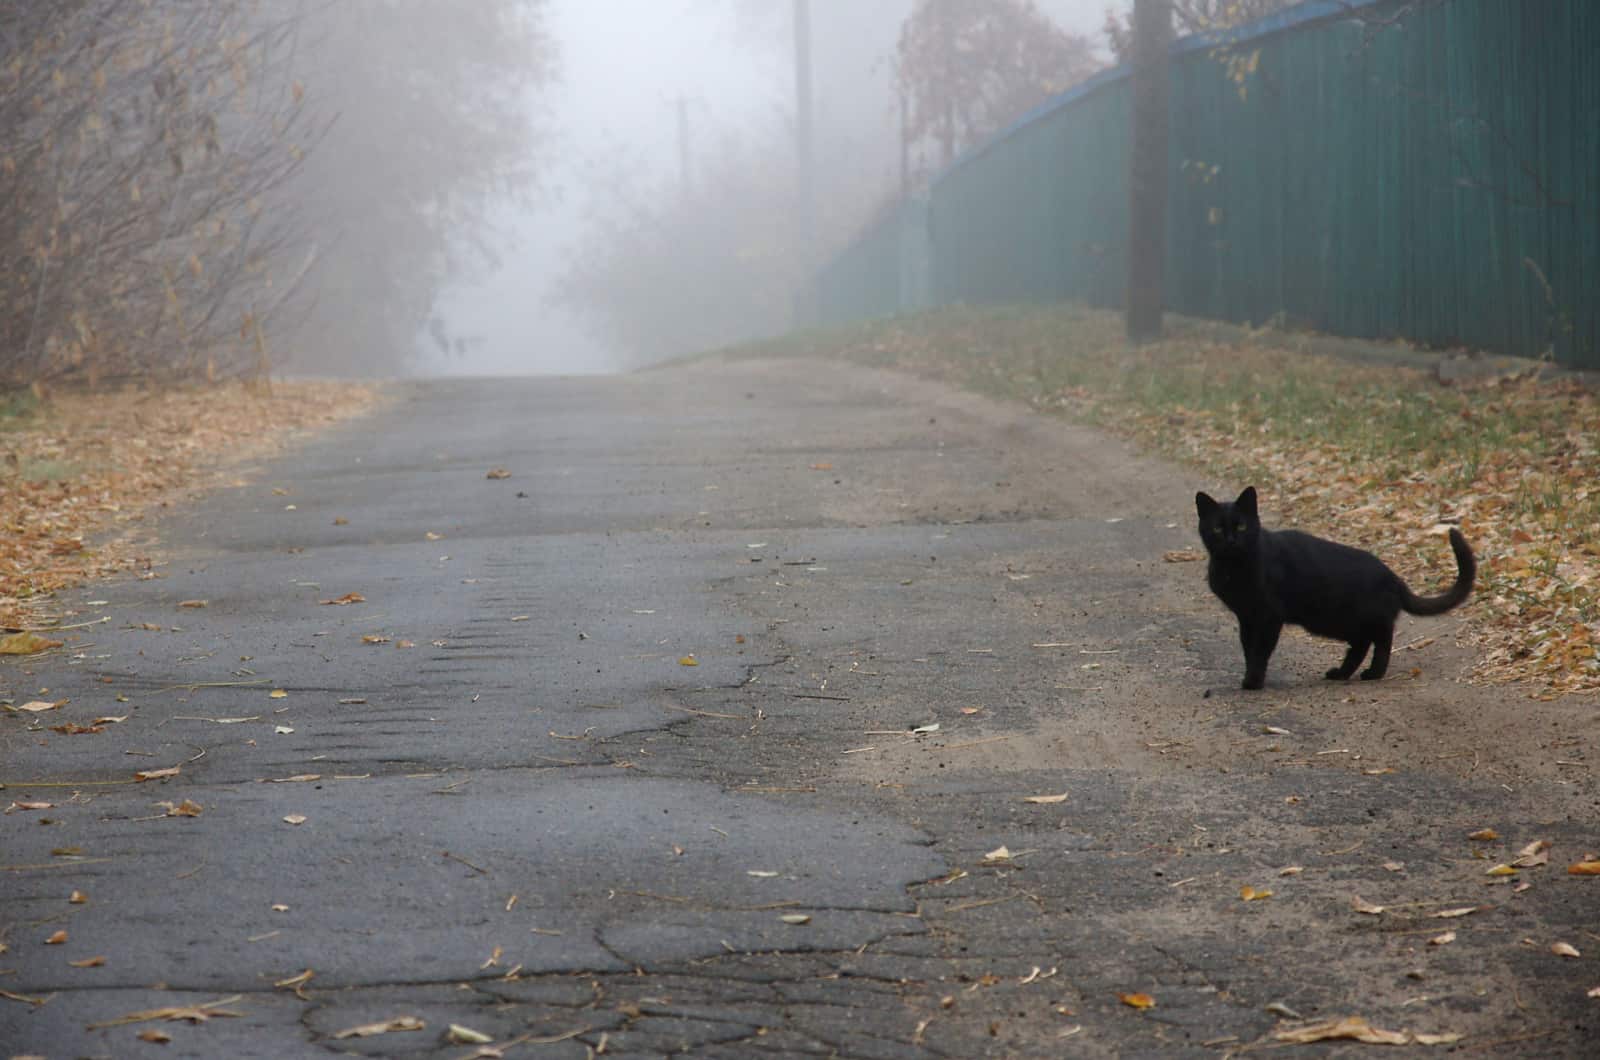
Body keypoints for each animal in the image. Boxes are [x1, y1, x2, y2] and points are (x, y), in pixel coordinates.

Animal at [1203, 486, 1472, 694]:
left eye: (1241, 526)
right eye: (1217, 528)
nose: (1230, 540)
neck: (1232, 567)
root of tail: (1393, 577)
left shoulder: (1269, 617)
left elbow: (1260, 651)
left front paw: (1253, 681)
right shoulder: (1246, 616)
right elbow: (1248, 648)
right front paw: (1251, 676)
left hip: (1348, 619)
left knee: (1382, 638)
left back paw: (1374, 673)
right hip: (1342, 622)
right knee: (1361, 644)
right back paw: (1341, 673)